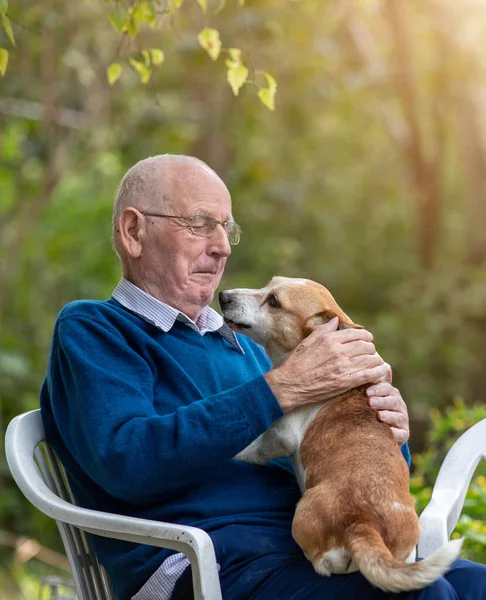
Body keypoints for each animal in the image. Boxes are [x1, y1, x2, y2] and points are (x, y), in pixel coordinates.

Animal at [220, 278, 464, 596]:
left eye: (274, 301)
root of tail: (362, 521)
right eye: (268, 284)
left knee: (323, 562)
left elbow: (252, 448)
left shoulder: (279, 436)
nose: (223, 296)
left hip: (303, 514)